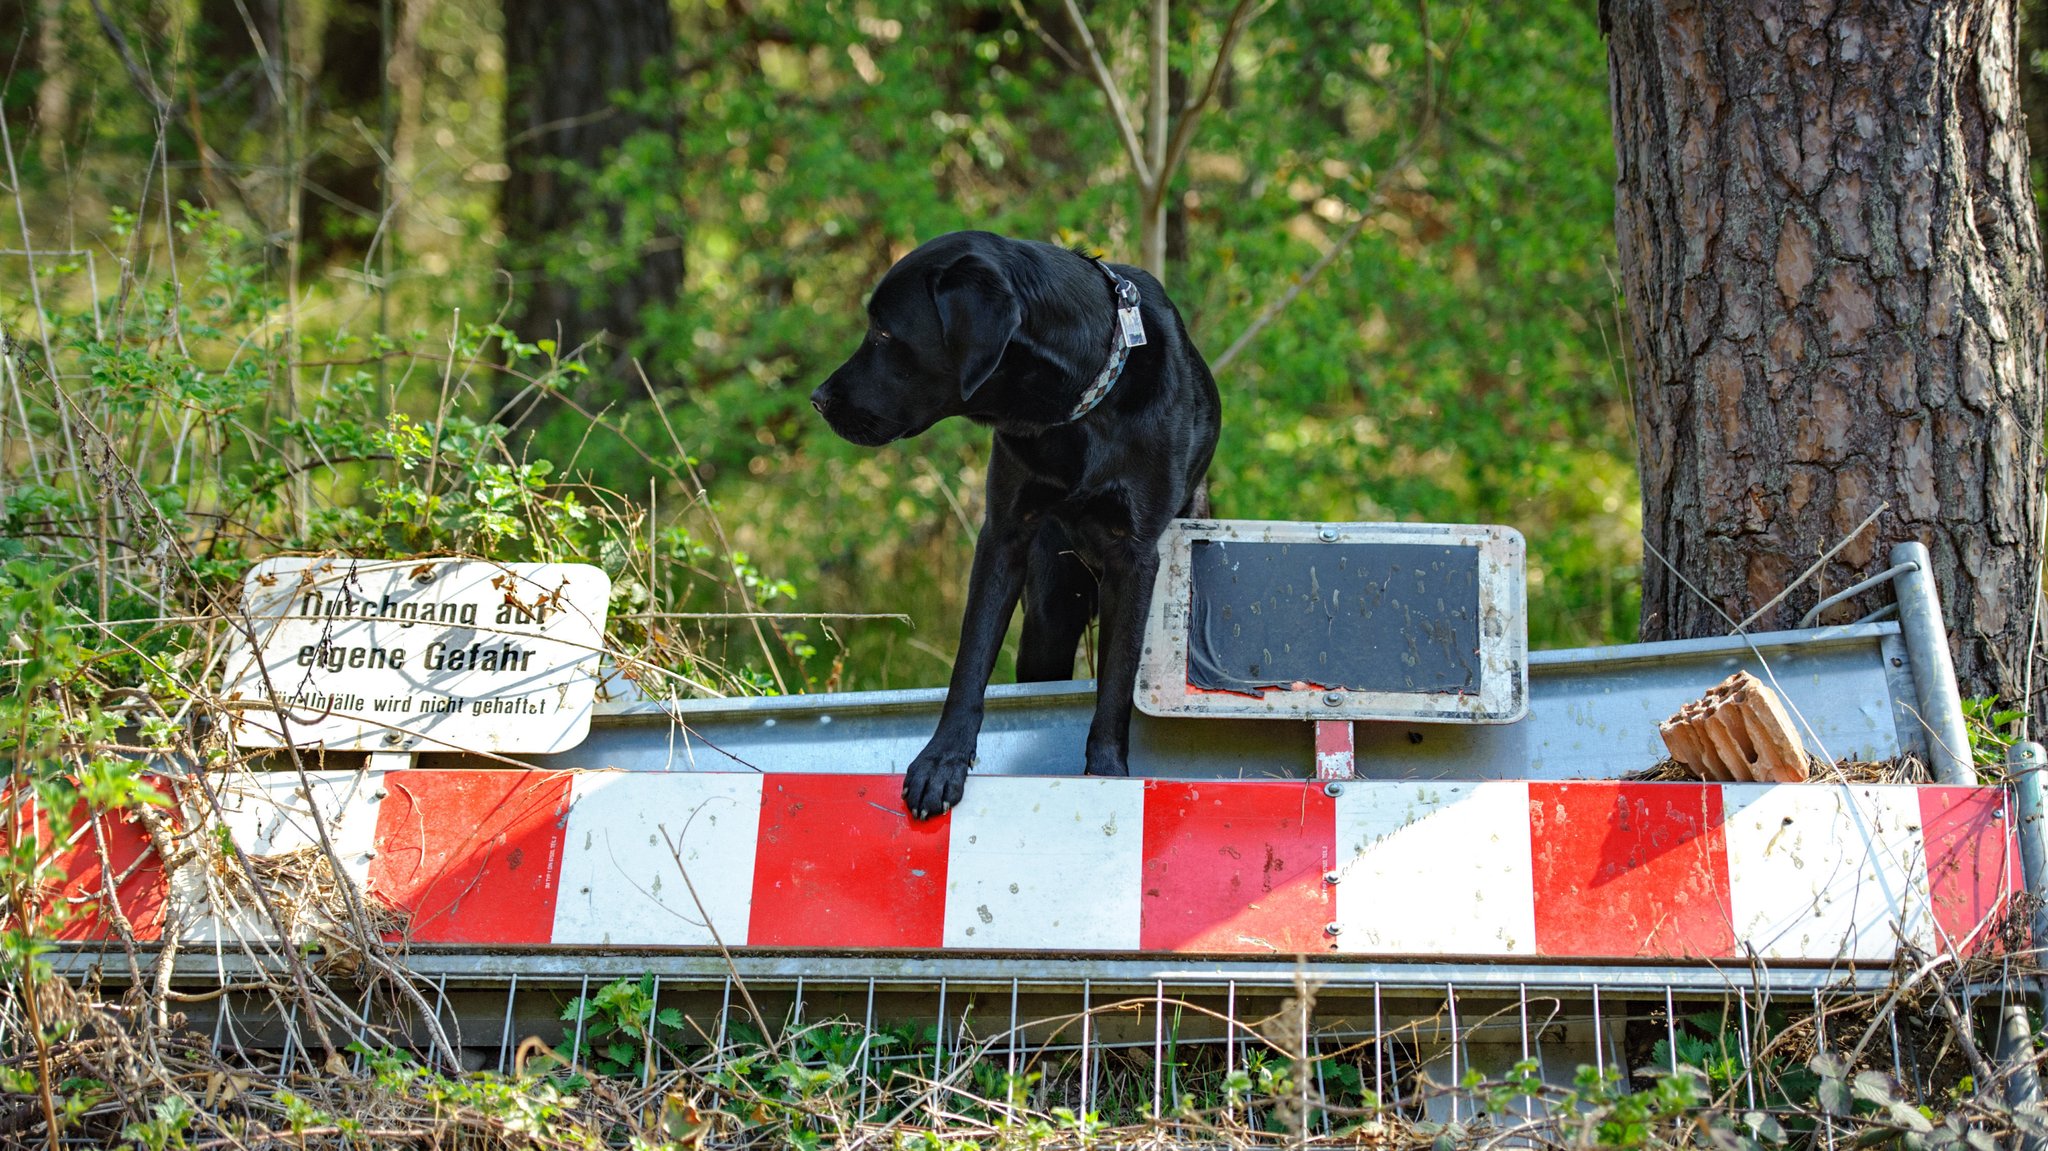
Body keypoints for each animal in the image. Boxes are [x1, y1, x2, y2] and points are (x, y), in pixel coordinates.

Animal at [806, 230, 1212, 815]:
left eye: (883, 332)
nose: (817, 400)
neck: (1077, 408)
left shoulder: (1134, 556)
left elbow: (1115, 684)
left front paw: (1107, 774)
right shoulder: (1004, 535)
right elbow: (970, 660)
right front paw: (942, 762)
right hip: (1049, 612)